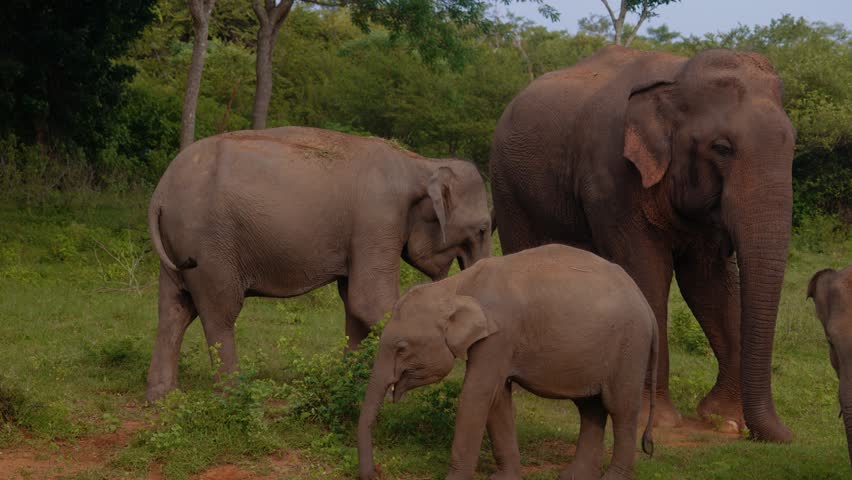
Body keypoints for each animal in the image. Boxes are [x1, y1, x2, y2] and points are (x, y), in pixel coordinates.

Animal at [145, 126, 492, 401]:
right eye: (482, 229)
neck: (419, 163)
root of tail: (160, 192)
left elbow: (354, 303)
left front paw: (350, 385)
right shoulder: (378, 218)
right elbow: (369, 300)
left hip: (178, 244)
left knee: (174, 309)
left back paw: (162, 397)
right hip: (209, 243)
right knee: (220, 312)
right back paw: (233, 395)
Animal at [358, 244, 659, 480]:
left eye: (401, 348)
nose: (375, 473)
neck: (457, 286)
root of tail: (648, 307)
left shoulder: (500, 335)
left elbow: (478, 394)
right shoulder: (498, 343)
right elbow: (497, 397)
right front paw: (503, 478)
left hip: (630, 347)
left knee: (621, 408)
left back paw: (612, 477)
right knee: (590, 408)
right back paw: (573, 476)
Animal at [490, 45, 796, 442]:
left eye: (794, 145)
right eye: (721, 147)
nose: (785, 436)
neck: (676, 79)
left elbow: (708, 286)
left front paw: (726, 420)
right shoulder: (612, 179)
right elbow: (647, 274)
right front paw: (659, 420)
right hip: (507, 186)